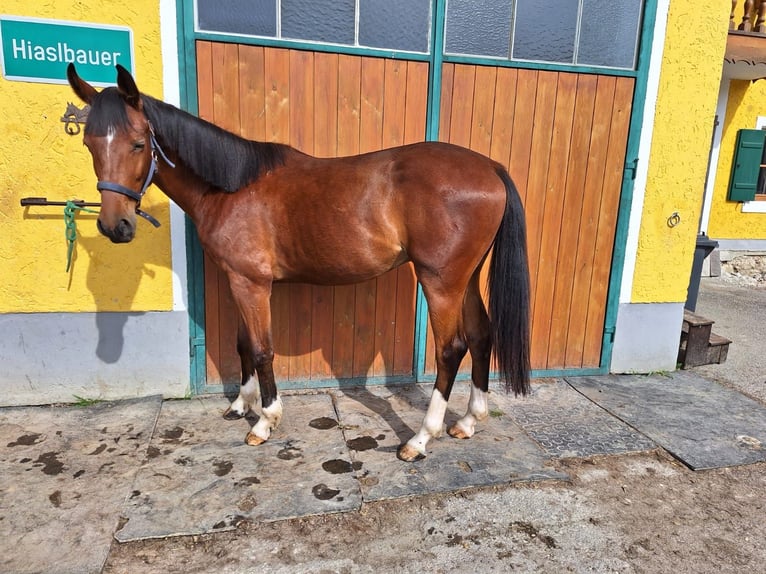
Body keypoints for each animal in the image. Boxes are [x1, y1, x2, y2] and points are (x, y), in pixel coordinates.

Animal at [69, 63, 532, 464]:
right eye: (89, 144)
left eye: (138, 143)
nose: (115, 226)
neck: (231, 187)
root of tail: (490, 166)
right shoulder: (241, 281)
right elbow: (243, 343)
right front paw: (241, 405)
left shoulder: (252, 283)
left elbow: (261, 348)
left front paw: (265, 421)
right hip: (464, 278)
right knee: (481, 335)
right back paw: (468, 422)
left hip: (440, 281)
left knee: (451, 350)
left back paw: (419, 439)